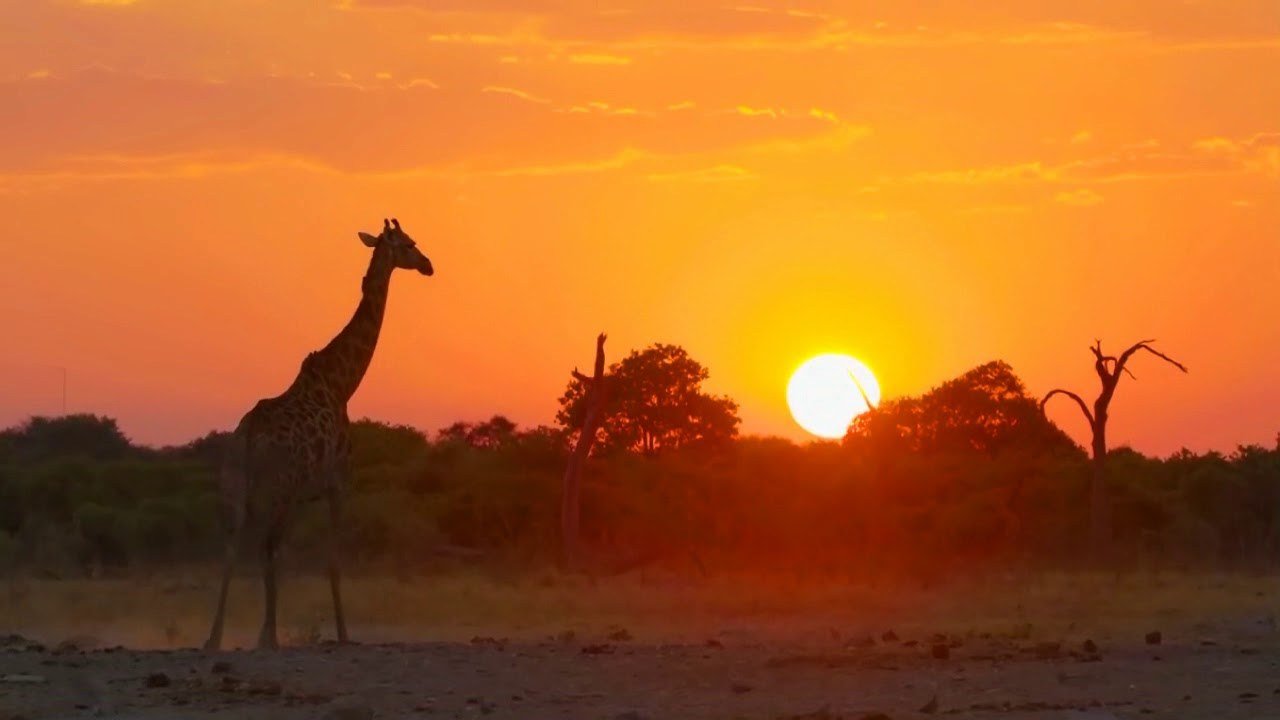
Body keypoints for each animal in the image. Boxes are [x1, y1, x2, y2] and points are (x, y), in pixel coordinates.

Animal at [203, 217, 434, 651]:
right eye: (409, 244)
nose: (429, 265)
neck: (343, 384)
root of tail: (248, 438)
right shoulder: (337, 483)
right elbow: (332, 560)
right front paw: (343, 635)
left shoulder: (304, 494)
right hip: (278, 491)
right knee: (266, 548)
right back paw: (266, 637)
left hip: (238, 488)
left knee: (233, 547)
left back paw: (215, 639)